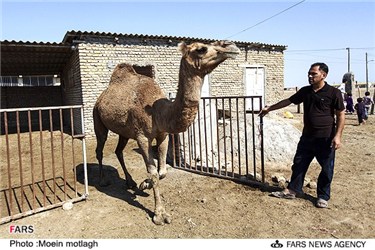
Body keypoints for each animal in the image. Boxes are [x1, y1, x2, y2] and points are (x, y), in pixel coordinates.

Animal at [94, 40, 241, 225]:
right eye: (201, 49)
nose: (232, 47)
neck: (158, 112)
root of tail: (100, 98)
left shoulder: (163, 135)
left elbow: (162, 172)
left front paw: (143, 184)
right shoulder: (142, 137)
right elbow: (153, 173)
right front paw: (159, 214)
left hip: (123, 132)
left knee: (118, 151)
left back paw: (130, 182)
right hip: (97, 119)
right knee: (100, 149)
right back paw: (102, 180)